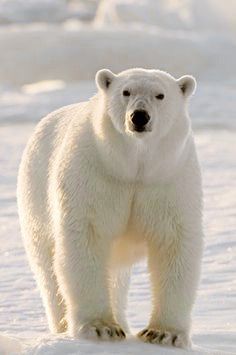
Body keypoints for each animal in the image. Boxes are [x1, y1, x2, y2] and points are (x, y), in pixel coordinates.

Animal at [18, 68, 203, 350]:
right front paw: (100, 328)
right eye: (125, 92)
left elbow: (174, 243)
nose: (139, 116)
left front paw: (165, 334)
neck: (133, 168)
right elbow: (87, 238)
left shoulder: (168, 180)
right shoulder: (94, 174)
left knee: (116, 276)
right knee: (48, 271)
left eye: (160, 95)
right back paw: (63, 327)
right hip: (35, 199)